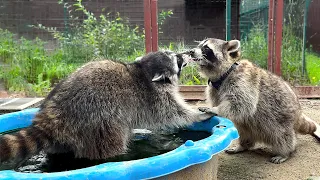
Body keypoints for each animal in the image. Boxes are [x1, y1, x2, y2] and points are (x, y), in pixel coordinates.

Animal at [0, 50, 215, 166]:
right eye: (176, 59)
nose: (187, 53)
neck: (143, 70)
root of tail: (53, 115)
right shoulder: (154, 98)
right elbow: (172, 113)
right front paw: (195, 114)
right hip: (99, 123)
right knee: (111, 144)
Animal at [185, 37, 320, 163]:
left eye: (206, 48)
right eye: (199, 45)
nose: (191, 51)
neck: (224, 74)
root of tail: (298, 112)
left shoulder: (243, 80)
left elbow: (242, 103)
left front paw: (215, 109)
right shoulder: (213, 89)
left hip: (283, 119)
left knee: (282, 136)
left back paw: (285, 152)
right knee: (243, 130)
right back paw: (243, 145)